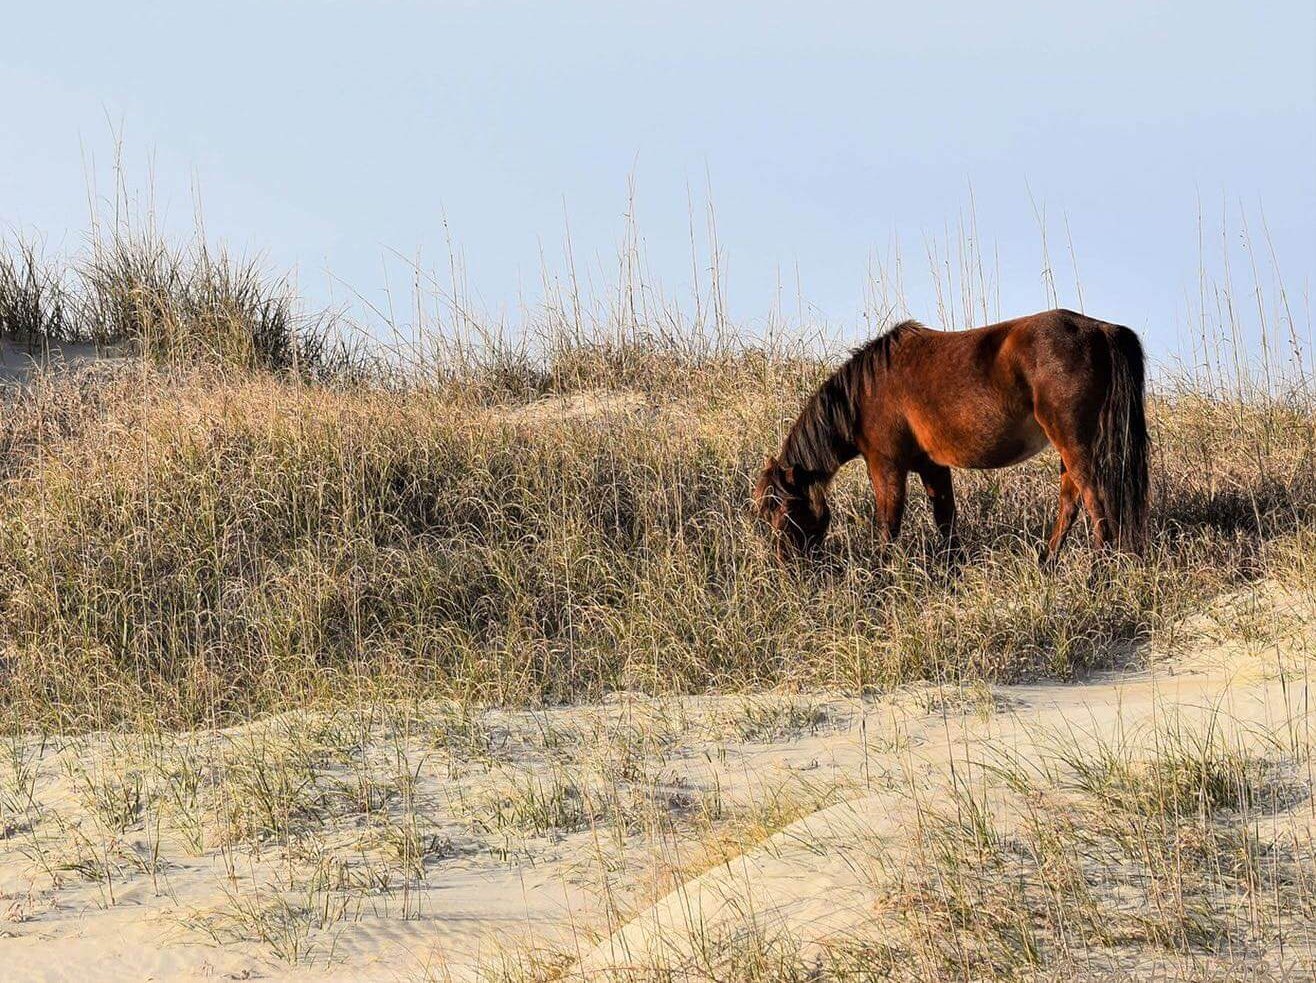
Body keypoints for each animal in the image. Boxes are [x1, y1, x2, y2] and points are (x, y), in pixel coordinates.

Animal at [753, 309, 1148, 560]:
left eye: (784, 509)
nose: (786, 566)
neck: (864, 392)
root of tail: (1101, 330)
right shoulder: (932, 467)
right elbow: (945, 519)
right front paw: (950, 570)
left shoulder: (886, 466)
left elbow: (888, 525)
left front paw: (880, 576)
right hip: (1070, 448)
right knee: (1070, 503)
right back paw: (1047, 564)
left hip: (1074, 442)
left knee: (1095, 504)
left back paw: (1096, 573)